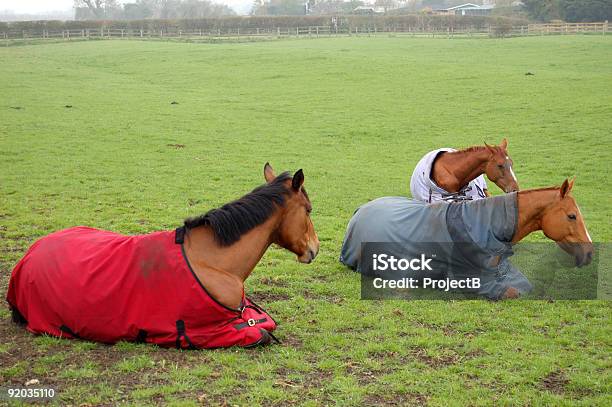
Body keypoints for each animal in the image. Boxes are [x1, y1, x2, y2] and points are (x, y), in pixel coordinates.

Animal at [7, 164, 320, 350]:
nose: (315, 248)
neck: (214, 262)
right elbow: (261, 333)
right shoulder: (209, 332)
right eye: (309, 209)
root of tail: (27, 257)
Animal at [340, 178, 592, 300]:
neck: (487, 225)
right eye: (572, 215)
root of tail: (359, 211)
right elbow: (511, 292)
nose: (589, 253)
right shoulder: (471, 280)